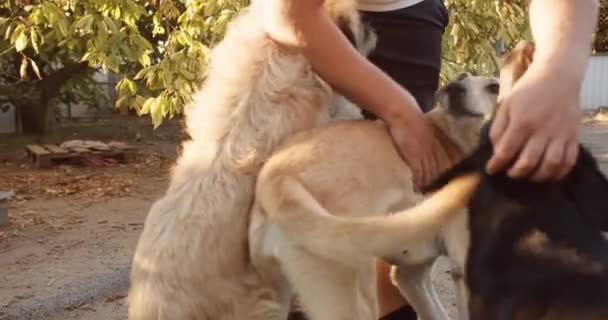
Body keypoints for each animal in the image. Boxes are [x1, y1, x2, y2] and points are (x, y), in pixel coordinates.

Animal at [247, 72, 498, 320]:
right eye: (463, 78)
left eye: (494, 87)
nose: (454, 85)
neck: (451, 139)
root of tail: (276, 175)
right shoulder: (462, 273)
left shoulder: (411, 276)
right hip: (353, 297)